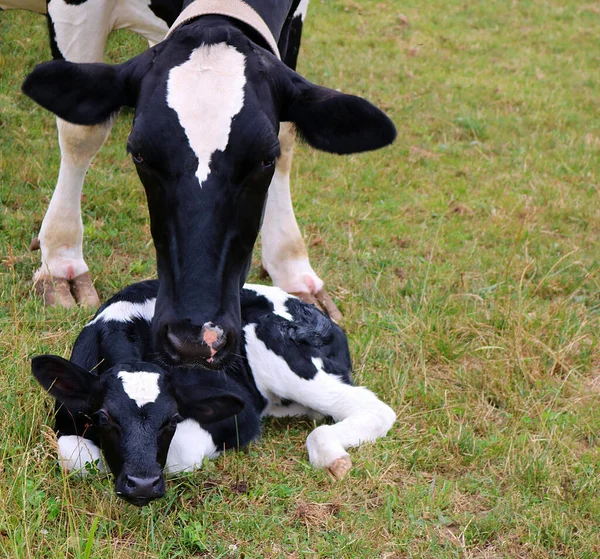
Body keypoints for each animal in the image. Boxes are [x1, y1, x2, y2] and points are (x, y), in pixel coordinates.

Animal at [16, 1, 396, 372]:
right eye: (139, 154)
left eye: (265, 159)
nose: (194, 341)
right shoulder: (75, 13)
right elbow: (81, 133)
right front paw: (62, 261)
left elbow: (289, 136)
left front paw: (293, 270)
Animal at [32, 282, 398, 506]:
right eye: (104, 416)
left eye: (173, 418)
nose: (143, 483)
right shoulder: (66, 417)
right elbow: (76, 457)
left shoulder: (240, 414)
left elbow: (181, 453)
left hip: (277, 347)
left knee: (371, 408)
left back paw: (333, 457)